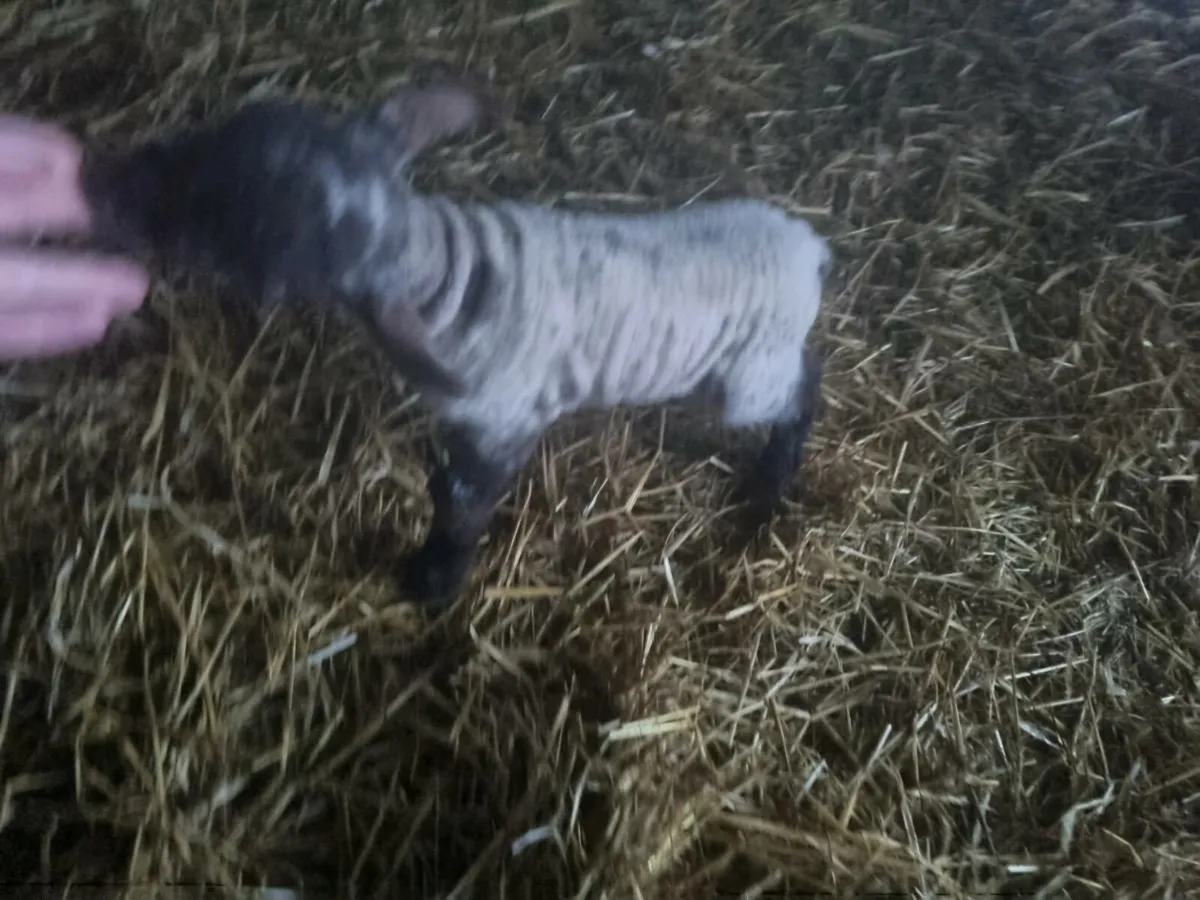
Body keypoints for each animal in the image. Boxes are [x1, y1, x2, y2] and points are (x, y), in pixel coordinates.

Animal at [77, 75, 833, 612]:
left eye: (238, 237)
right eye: (223, 132)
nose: (100, 182)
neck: (444, 266)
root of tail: (809, 247)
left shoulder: (504, 426)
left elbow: (464, 509)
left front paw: (433, 582)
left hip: (748, 375)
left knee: (802, 385)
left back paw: (772, 478)